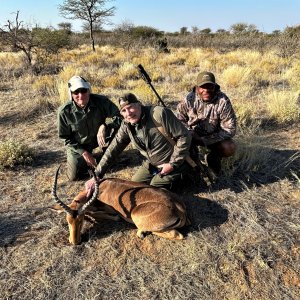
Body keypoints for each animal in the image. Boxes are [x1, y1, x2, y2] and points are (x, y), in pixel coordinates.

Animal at [50, 165, 189, 245]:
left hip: (136, 216)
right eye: (68, 221)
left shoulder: (111, 211)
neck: (101, 188)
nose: (75, 242)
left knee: (176, 235)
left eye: (81, 220)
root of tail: (180, 210)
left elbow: (97, 214)